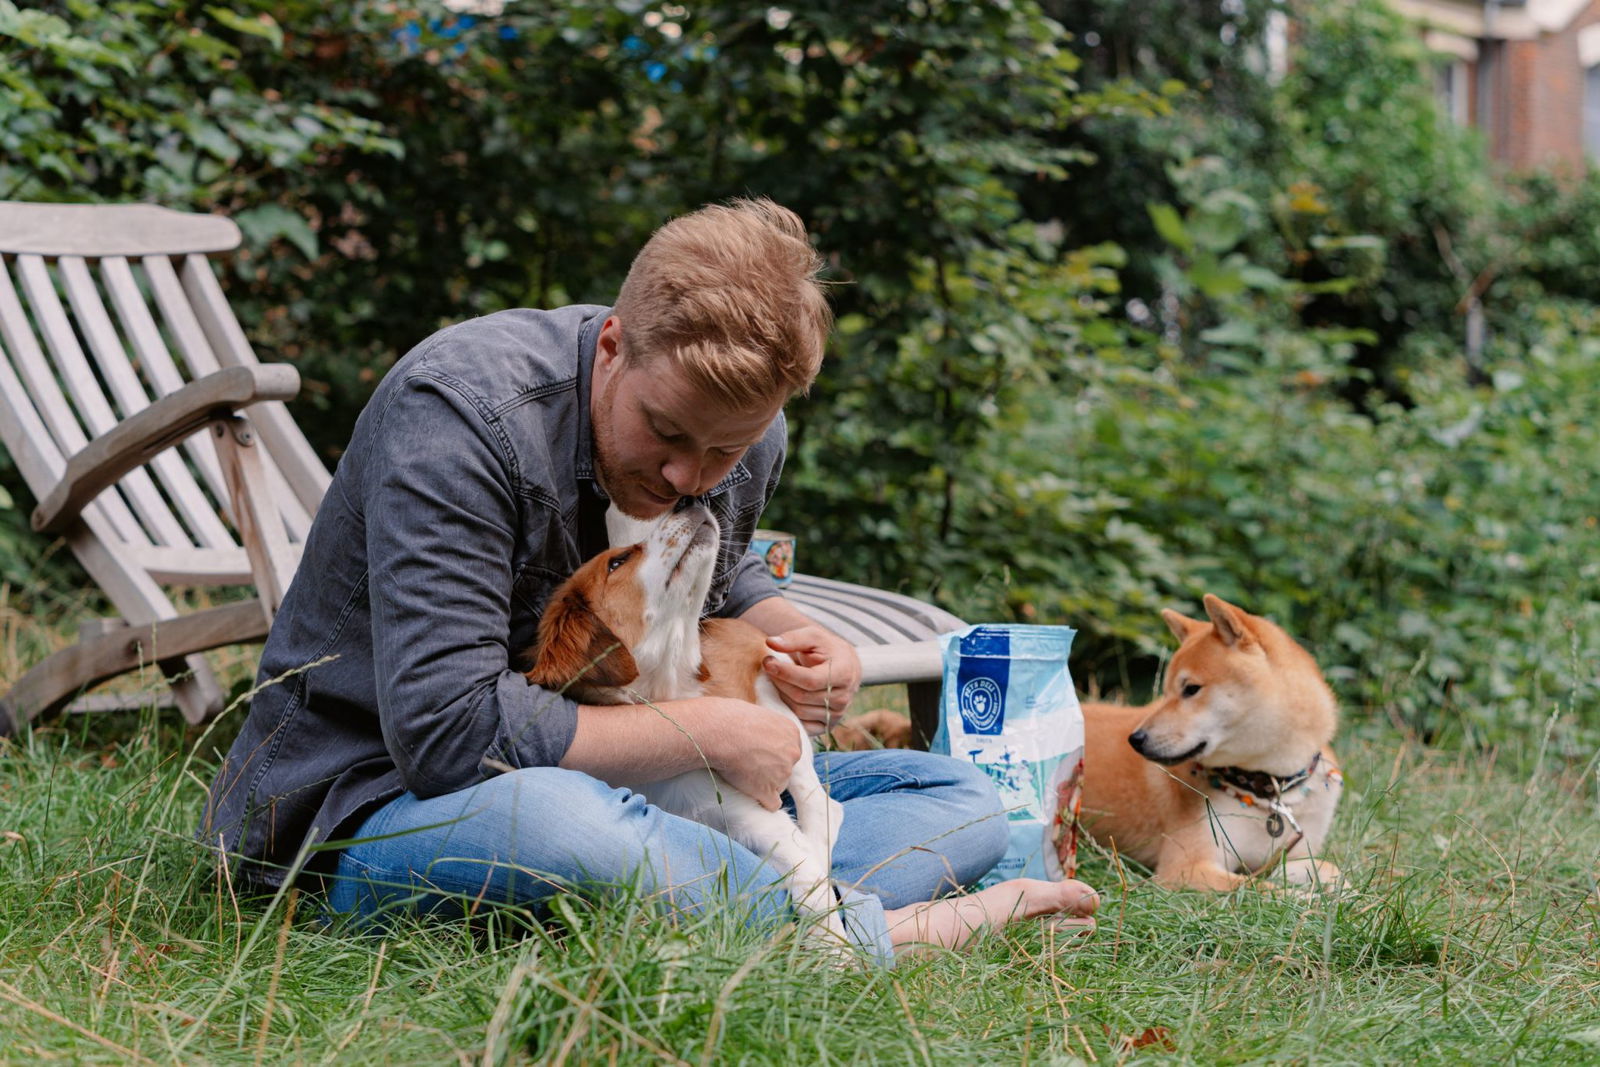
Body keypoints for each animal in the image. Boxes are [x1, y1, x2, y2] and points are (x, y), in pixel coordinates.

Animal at [523, 504, 846, 939]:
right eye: (617, 562)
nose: (687, 502)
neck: (669, 695)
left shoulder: (757, 818)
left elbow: (808, 887)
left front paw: (835, 953)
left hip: (781, 719)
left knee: (822, 806)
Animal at [1079, 594, 1343, 891]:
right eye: (1165, 692)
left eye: (1191, 689)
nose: (1136, 739)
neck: (1269, 789)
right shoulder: (1187, 868)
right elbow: (1260, 887)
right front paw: (1307, 897)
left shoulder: (1291, 855)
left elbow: (1328, 869)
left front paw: (1343, 890)